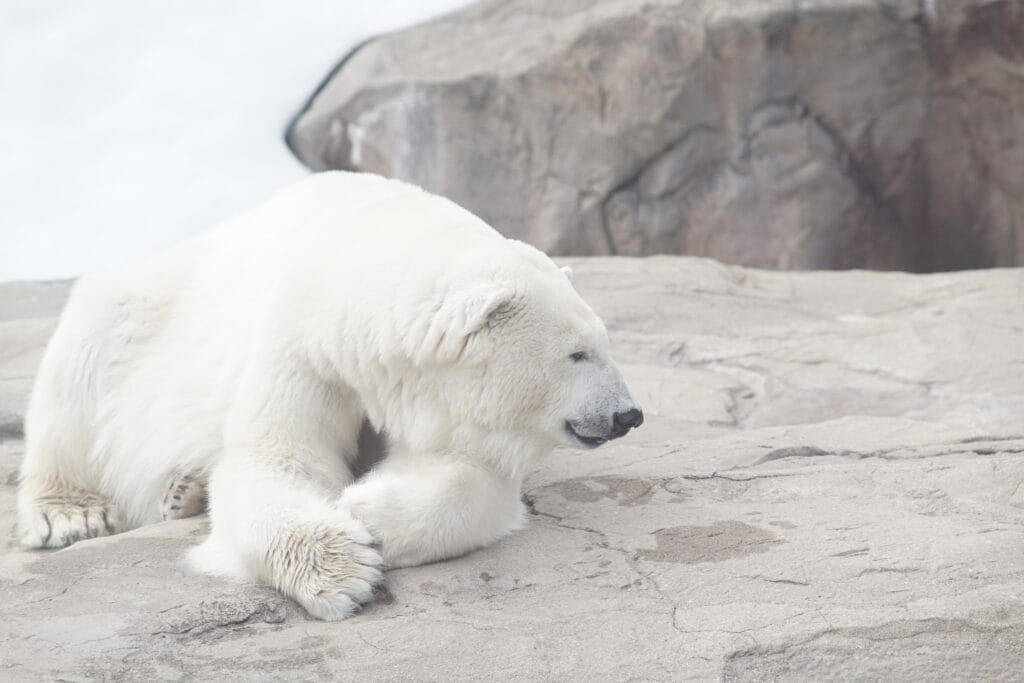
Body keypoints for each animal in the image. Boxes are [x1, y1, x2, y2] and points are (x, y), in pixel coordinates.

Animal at [16, 172, 643, 619]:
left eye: (604, 341)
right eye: (578, 353)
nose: (628, 414)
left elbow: (470, 475)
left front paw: (365, 510)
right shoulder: (303, 345)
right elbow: (275, 459)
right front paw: (343, 568)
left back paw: (183, 492)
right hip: (140, 312)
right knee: (81, 366)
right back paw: (72, 514)